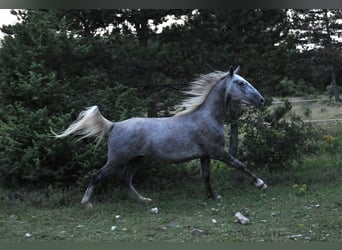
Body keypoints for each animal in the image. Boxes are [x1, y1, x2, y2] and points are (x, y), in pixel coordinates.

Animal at [53, 66, 268, 205]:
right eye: (240, 83)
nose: (261, 100)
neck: (208, 117)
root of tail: (114, 125)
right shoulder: (217, 152)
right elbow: (240, 165)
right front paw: (260, 184)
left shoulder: (205, 155)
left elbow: (206, 176)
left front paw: (212, 197)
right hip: (117, 160)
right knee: (98, 176)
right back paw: (86, 203)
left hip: (136, 159)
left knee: (126, 180)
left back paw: (144, 200)